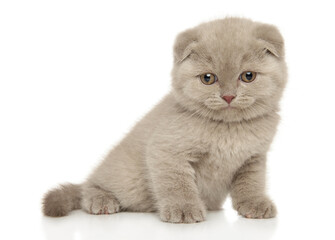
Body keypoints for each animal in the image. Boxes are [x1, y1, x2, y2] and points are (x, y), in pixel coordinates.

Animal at [43, 17, 288, 224]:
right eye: (208, 78)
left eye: (248, 76)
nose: (228, 96)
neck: (228, 129)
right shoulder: (166, 151)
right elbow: (177, 183)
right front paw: (184, 209)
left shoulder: (254, 158)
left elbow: (252, 183)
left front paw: (255, 204)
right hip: (125, 178)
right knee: (88, 187)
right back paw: (101, 200)